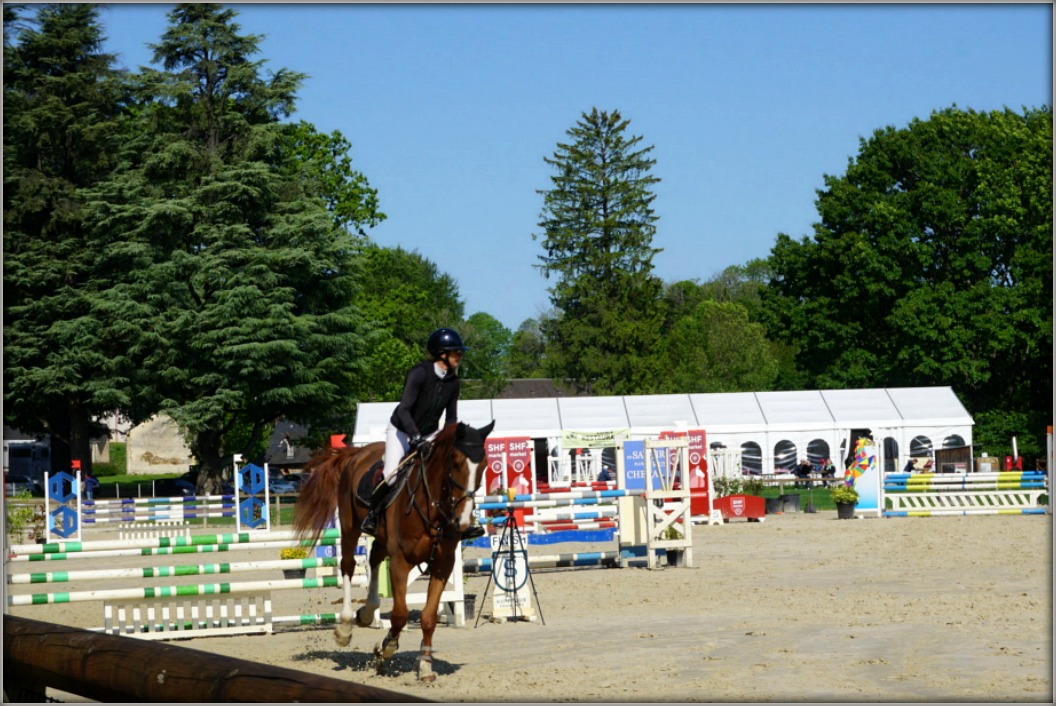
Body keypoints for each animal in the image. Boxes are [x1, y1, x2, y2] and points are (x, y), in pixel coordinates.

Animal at [293, 417, 494, 683]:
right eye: (457, 463)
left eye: (484, 465)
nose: (461, 521)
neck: (431, 506)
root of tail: (356, 453)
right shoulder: (401, 561)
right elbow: (400, 614)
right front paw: (386, 648)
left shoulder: (443, 564)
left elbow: (429, 617)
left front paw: (425, 666)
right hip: (349, 526)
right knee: (348, 565)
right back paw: (345, 627)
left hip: (381, 537)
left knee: (375, 556)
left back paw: (367, 612)